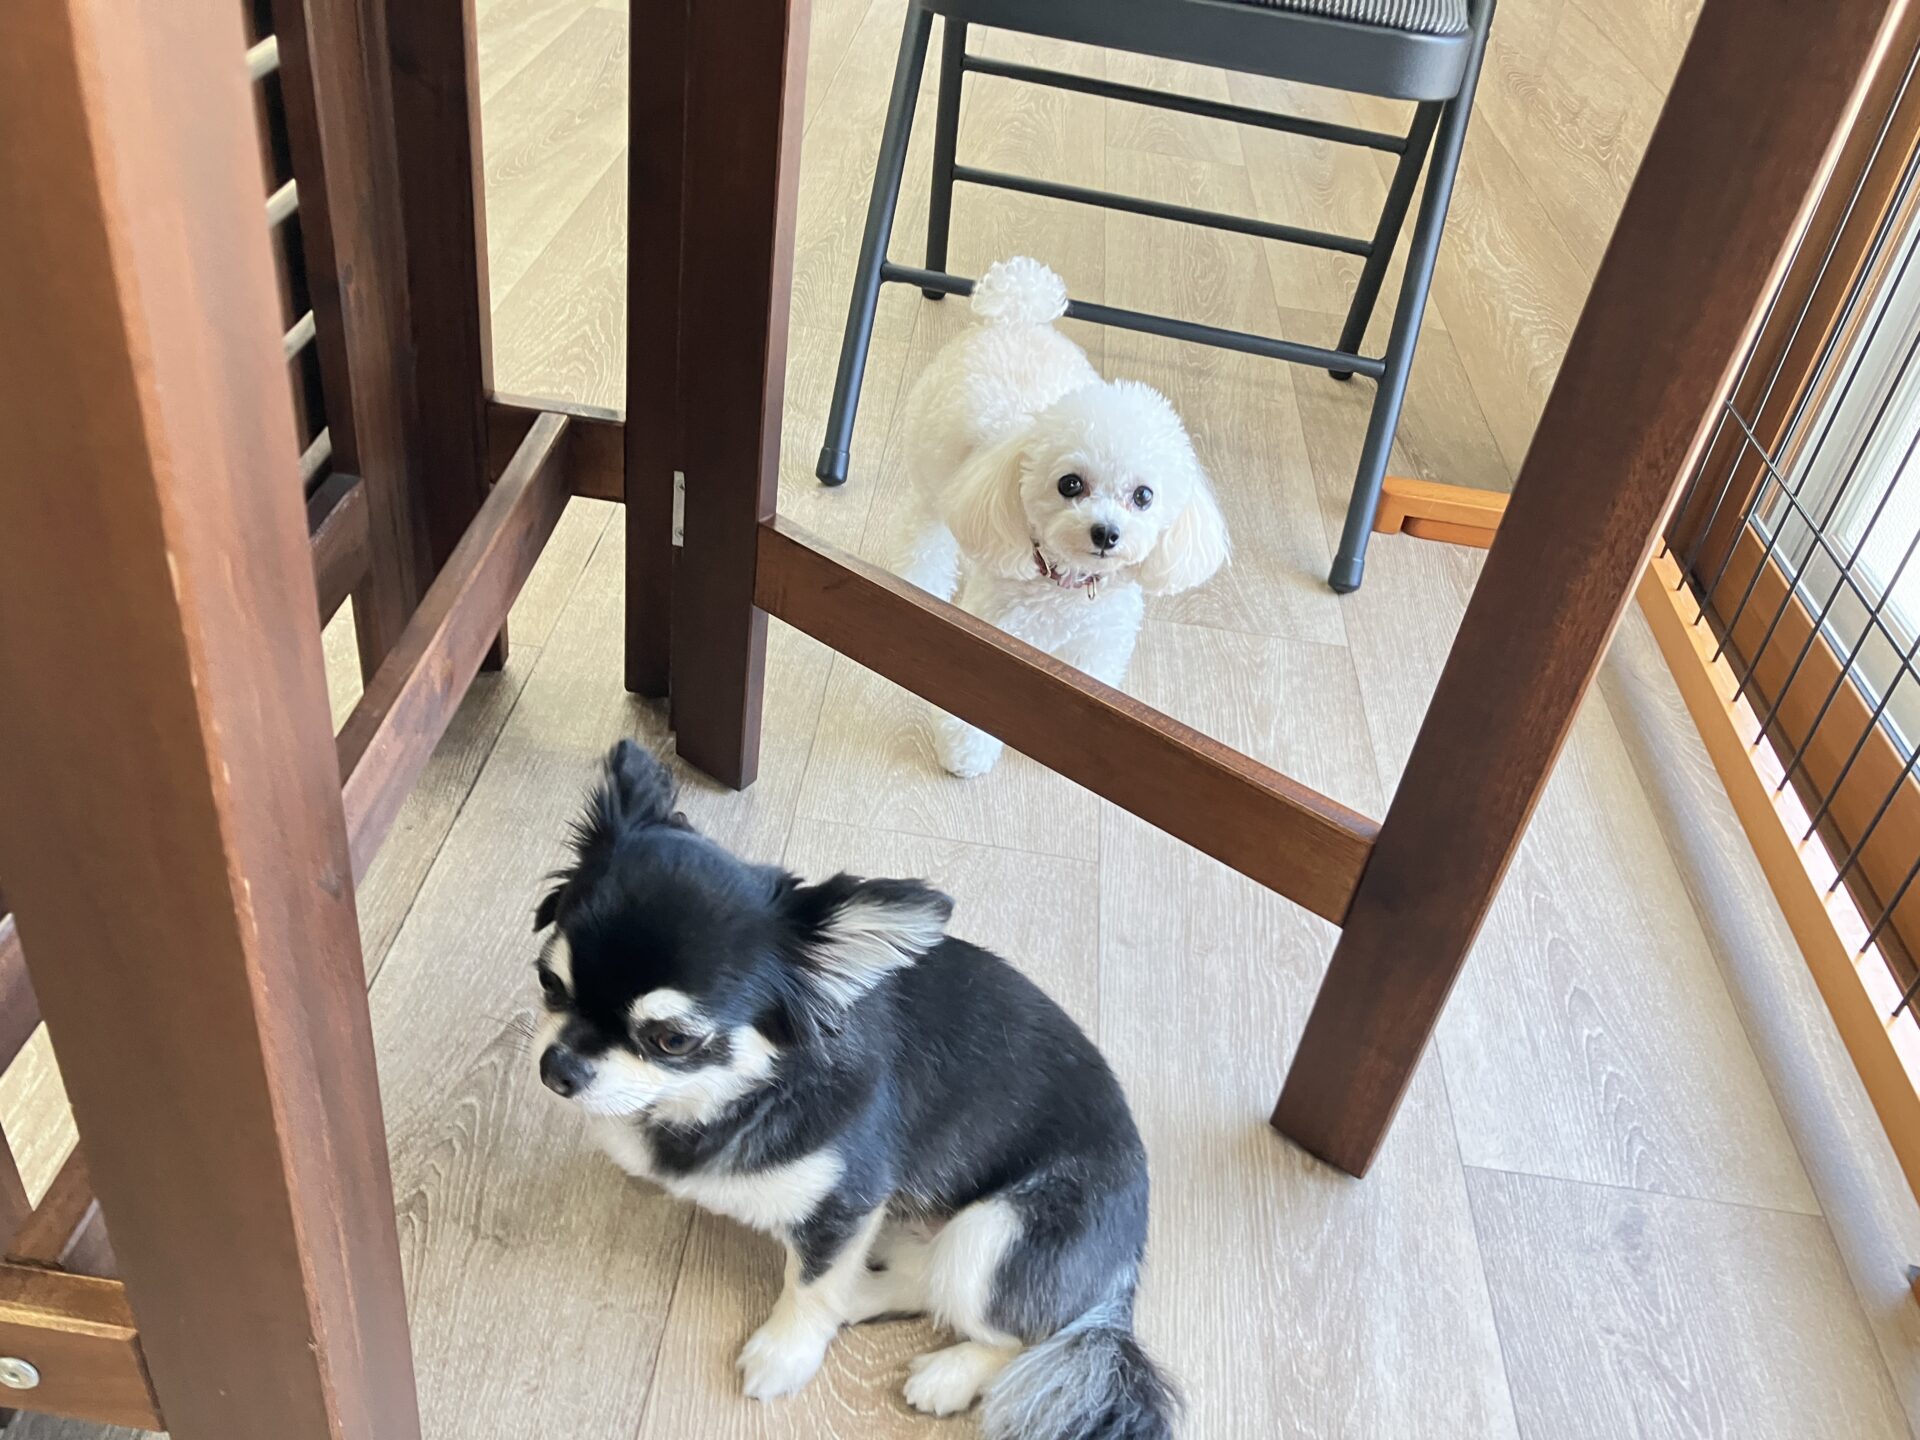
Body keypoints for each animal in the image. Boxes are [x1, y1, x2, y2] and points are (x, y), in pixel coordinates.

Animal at [531, 741, 1177, 1439]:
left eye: (672, 1039)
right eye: (549, 983)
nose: (556, 1068)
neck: (731, 1096)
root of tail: (1125, 1265)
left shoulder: (847, 1201)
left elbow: (812, 1286)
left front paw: (786, 1352)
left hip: (997, 1233)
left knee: (1019, 1333)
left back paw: (944, 1372)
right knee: (928, 1282)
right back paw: (868, 1291)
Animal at [897, 256, 1229, 777]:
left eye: (1144, 495)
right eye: (1069, 484)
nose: (1107, 533)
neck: (1065, 591)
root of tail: (1015, 318)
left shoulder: (1097, 649)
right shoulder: (995, 638)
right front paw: (966, 752)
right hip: (930, 475)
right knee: (924, 540)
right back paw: (918, 587)